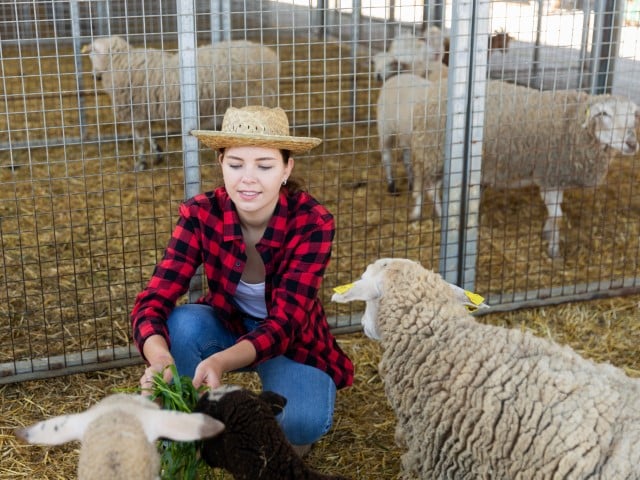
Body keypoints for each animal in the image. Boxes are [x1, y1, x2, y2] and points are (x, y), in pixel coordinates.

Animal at [83, 36, 280, 171]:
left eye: (93, 54)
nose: (94, 76)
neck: (119, 63)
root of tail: (272, 58)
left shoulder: (135, 113)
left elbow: (139, 140)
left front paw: (140, 162)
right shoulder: (144, 113)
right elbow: (149, 135)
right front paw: (157, 152)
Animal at [410, 80, 640, 256]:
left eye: (633, 116)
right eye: (604, 114)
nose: (631, 143)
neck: (573, 122)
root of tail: (431, 92)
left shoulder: (557, 177)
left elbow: (556, 213)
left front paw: (547, 233)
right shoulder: (548, 176)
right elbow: (557, 216)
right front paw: (553, 249)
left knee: (425, 184)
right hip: (434, 154)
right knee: (429, 187)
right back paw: (439, 216)